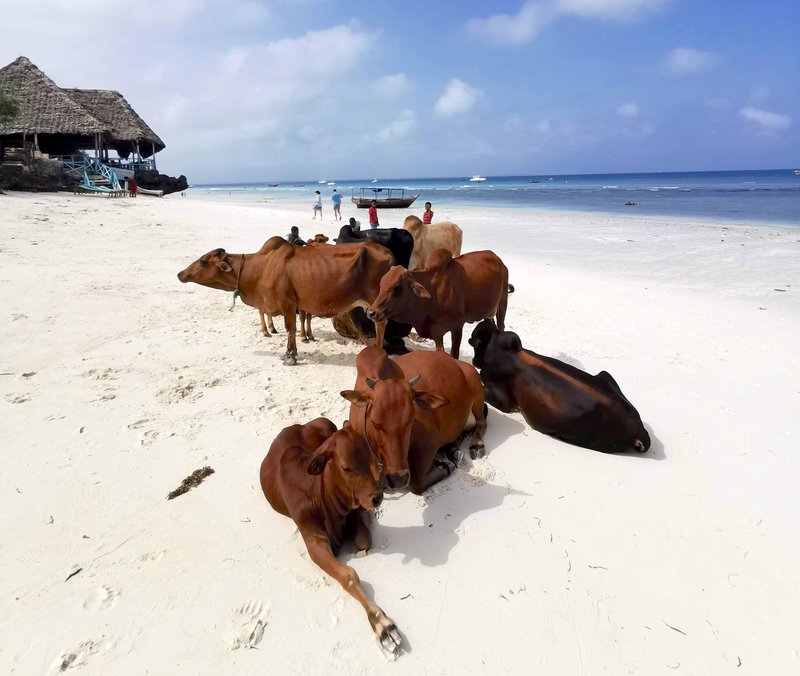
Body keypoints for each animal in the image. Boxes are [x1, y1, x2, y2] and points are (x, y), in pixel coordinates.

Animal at [180, 239, 396, 364]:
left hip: (375, 300)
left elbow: (290, 328)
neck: (260, 268)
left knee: (381, 323)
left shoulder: (288, 303)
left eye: (203, 261)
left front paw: (290, 355)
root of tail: (388, 252)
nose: (180, 274)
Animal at [260, 418, 404, 656]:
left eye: (370, 459)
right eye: (346, 467)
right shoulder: (314, 541)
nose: (377, 497)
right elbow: (348, 575)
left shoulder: (353, 508)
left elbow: (364, 540)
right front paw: (381, 624)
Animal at [340, 346, 484, 494]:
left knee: (481, 422)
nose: (398, 479)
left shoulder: (429, 442)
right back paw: (453, 449)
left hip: (477, 389)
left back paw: (476, 445)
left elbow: (416, 482)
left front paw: (447, 465)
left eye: (410, 422)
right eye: (375, 423)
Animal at [366, 248, 510, 362]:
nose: (370, 312)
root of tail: (498, 260)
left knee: (501, 326)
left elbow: (453, 355)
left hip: (502, 303)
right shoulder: (436, 332)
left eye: (397, 288)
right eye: (382, 284)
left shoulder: (457, 326)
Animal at [468, 318, 648, 454]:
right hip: (605, 374)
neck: (499, 351)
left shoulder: (505, 401)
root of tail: (639, 429)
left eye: (474, 342)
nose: (474, 361)